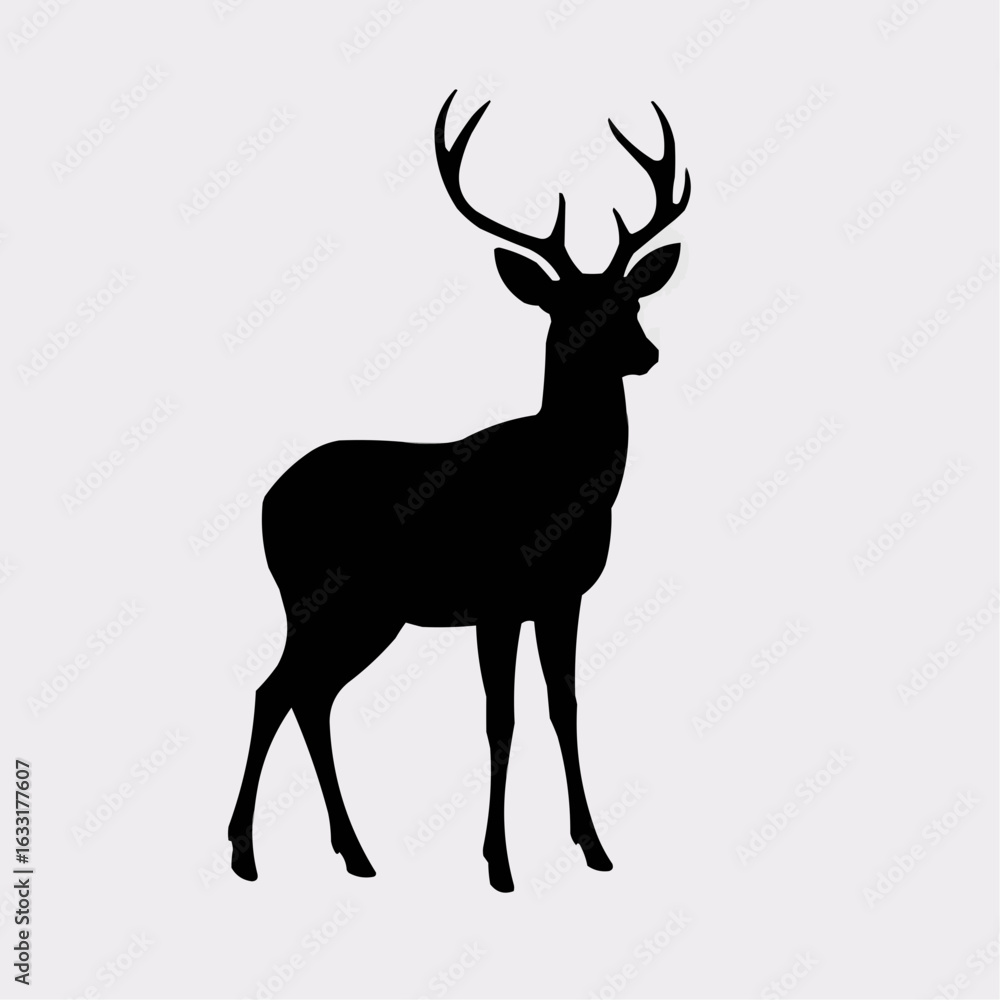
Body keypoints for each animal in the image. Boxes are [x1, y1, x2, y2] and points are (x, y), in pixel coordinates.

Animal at [228, 90, 690, 892]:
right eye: (569, 309)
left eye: (631, 301)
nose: (647, 352)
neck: (560, 489)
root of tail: (266, 500)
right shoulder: (497, 597)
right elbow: (499, 718)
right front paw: (499, 863)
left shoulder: (563, 596)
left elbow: (563, 707)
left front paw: (593, 846)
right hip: (318, 594)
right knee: (276, 689)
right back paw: (248, 855)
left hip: (367, 613)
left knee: (308, 694)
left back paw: (352, 854)